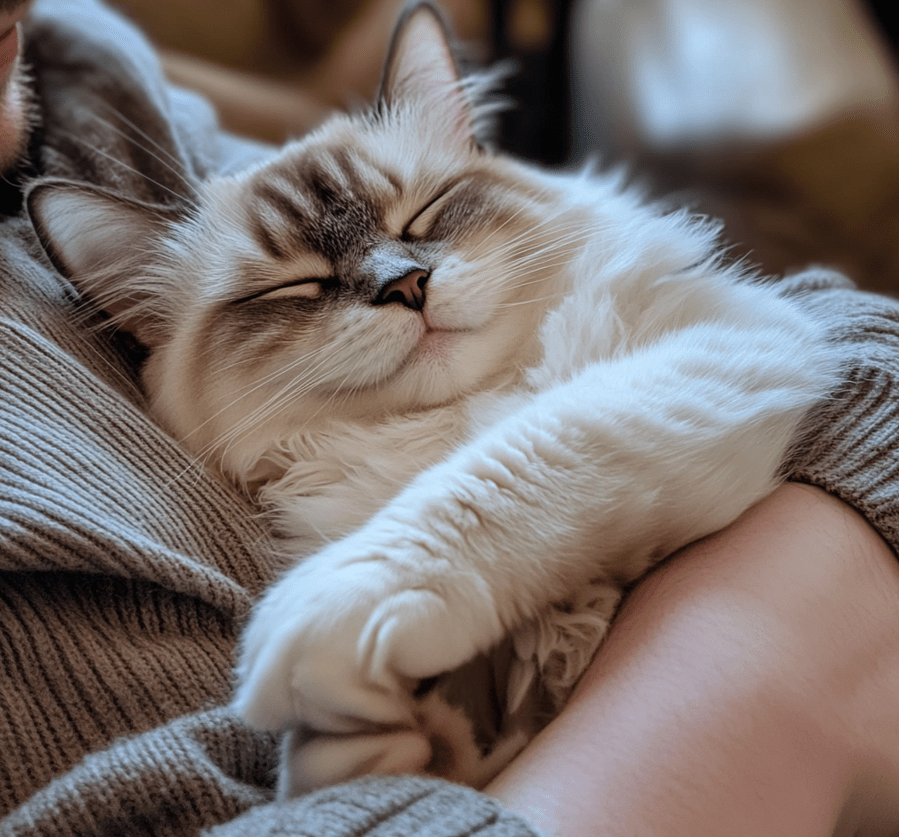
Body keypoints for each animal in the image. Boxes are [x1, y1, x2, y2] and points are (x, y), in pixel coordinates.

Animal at [28, 0, 840, 796]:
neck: (456, 417)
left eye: (422, 215)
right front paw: (385, 730)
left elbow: (492, 475)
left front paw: (327, 624)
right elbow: (424, 752)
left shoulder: (725, 349)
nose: (406, 285)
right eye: (296, 285)